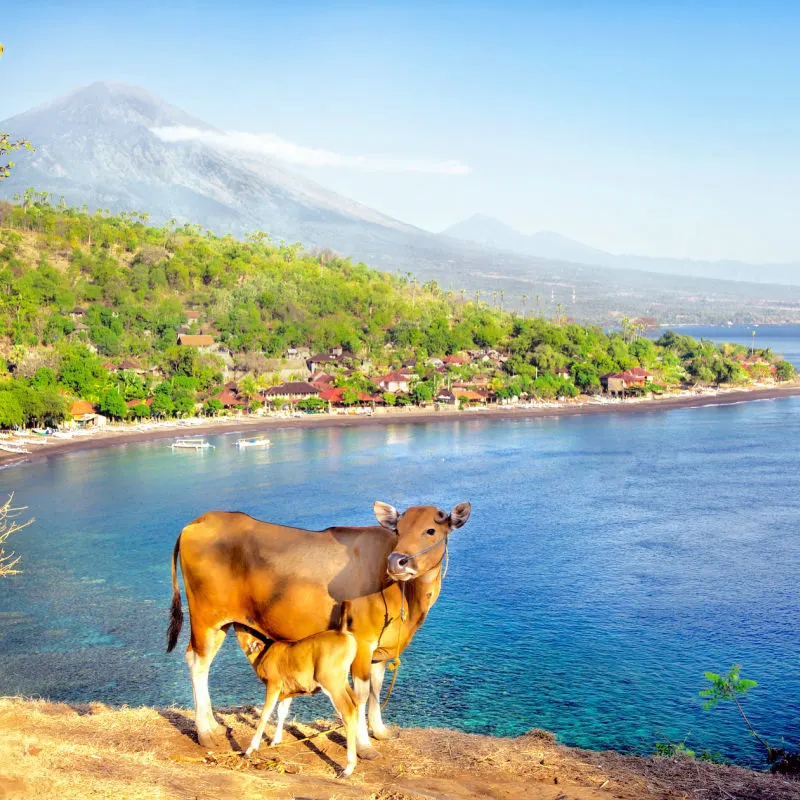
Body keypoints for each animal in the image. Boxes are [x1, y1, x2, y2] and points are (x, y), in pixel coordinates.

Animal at [168, 504, 468, 752]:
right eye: (398, 530)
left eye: (430, 530)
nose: (397, 561)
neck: (407, 596)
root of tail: (197, 522)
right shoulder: (362, 641)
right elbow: (360, 694)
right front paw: (363, 745)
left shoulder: (382, 648)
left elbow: (376, 687)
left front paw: (380, 731)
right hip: (205, 618)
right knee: (197, 663)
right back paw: (205, 733)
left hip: (223, 623)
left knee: (201, 663)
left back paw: (213, 725)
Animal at [234, 604, 360, 780]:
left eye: (245, 627)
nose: (235, 622)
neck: (264, 653)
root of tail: (341, 632)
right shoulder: (287, 690)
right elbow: (282, 712)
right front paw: (275, 741)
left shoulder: (274, 684)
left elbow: (266, 713)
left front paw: (250, 749)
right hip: (343, 682)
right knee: (357, 704)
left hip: (331, 682)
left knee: (347, 711)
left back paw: (348, 768)